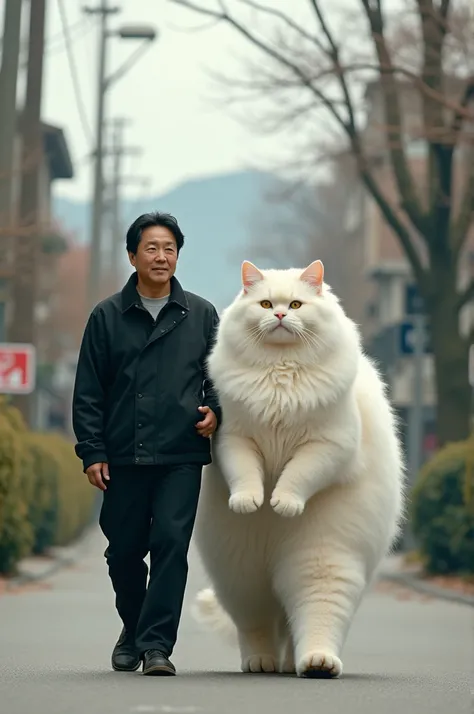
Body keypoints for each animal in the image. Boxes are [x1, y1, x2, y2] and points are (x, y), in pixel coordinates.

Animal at [193, 258, 404, 676]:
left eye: (294, 305)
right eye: (264, 304)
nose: (277, 316)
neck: (280, 373)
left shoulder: (329, 446)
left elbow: (298, 475)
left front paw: (282, 503)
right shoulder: (233, 439)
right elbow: (247, 474)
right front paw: (251, 501)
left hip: (323, 557)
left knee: (310, 619)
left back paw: (314, 663)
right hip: (242, 577)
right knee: (257, 626)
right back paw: (262, 663)